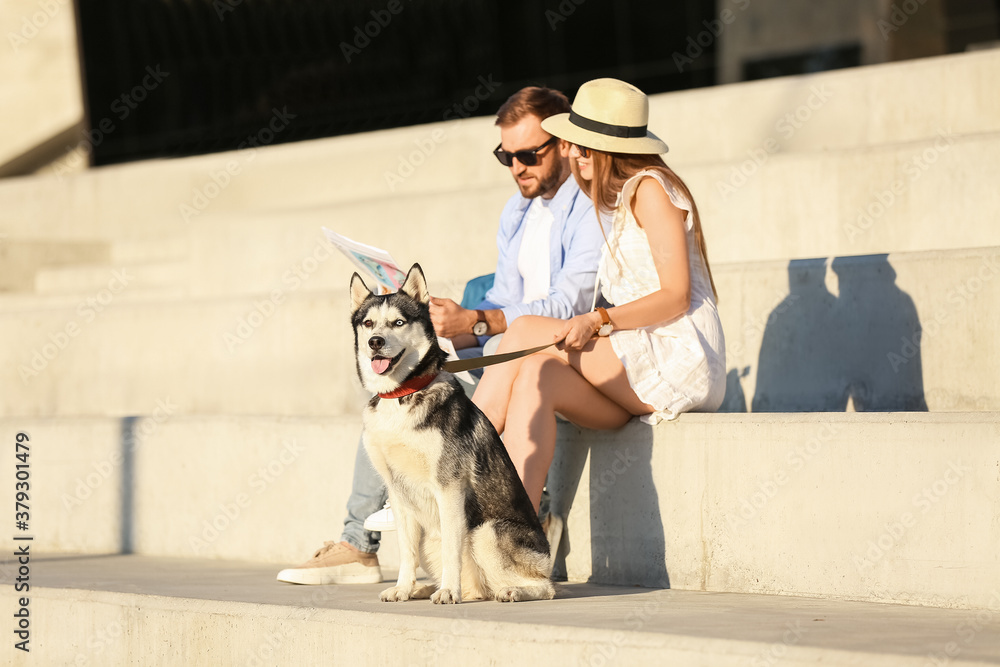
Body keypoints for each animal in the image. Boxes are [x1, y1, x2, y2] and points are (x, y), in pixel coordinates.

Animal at [350, 264, 556, 604]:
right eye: (368, 323)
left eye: (398, 322)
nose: (375, 342)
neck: (402, 395)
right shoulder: (399, 494)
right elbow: (406, 553)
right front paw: (404, 588)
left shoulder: (449, 488)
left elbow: (451, 549)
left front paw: (448, 591)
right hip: (430, 535)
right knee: (474, 586)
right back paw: (423, 588)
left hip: (486, 531)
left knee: (545, 587)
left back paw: (509, 590)